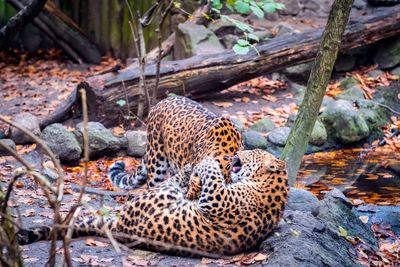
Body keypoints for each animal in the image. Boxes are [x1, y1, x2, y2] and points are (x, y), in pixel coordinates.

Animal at [18, 150, 290, 256]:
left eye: (250, 153)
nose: (235, 155)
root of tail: (118, 225)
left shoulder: (217, 200)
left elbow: (212, 174)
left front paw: (207, 164)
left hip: (160, 194)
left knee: (172, 182)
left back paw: (191, 169)